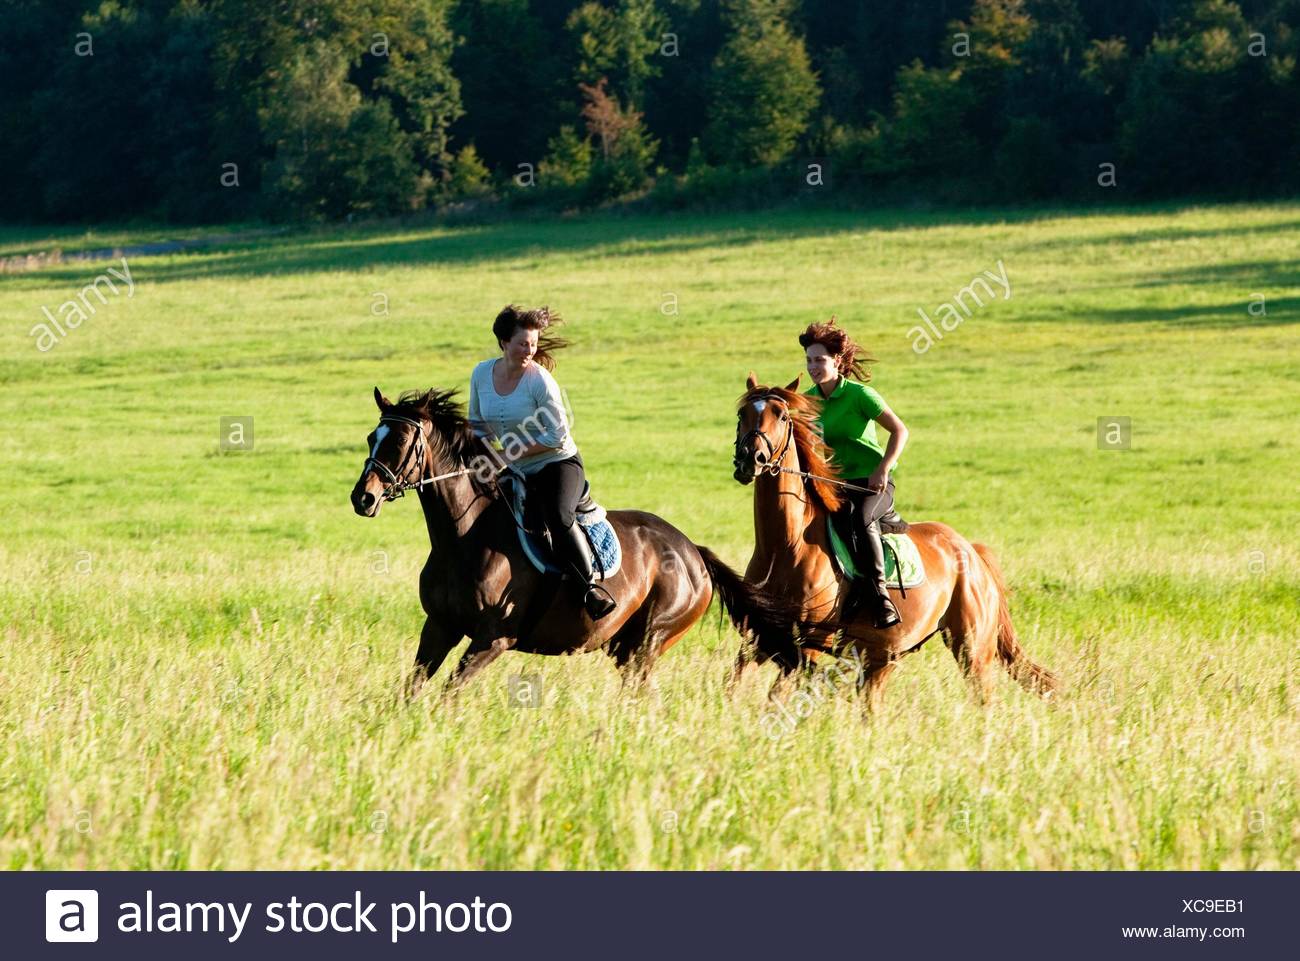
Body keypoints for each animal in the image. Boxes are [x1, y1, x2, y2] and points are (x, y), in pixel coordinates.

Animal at [351, 387, 795, 697]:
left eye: (399, 442)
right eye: (372, 436)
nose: (363, 498)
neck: (461, 539)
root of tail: (693, 553)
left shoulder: (492, 639)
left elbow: (449, 693)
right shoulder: (439, 627)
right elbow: (410, 692)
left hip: (650, 640)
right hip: (622, 647)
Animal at [733, 377, 1055, 712]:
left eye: (782, 416)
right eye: (742, 413)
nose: (750, 458)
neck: (785, 548)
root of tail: (971, 552)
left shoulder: (810, 644)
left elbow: (776, 698)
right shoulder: (758, 637)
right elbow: (734, 686)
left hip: (972, 647)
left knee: (983, 695)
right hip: (885, 654)